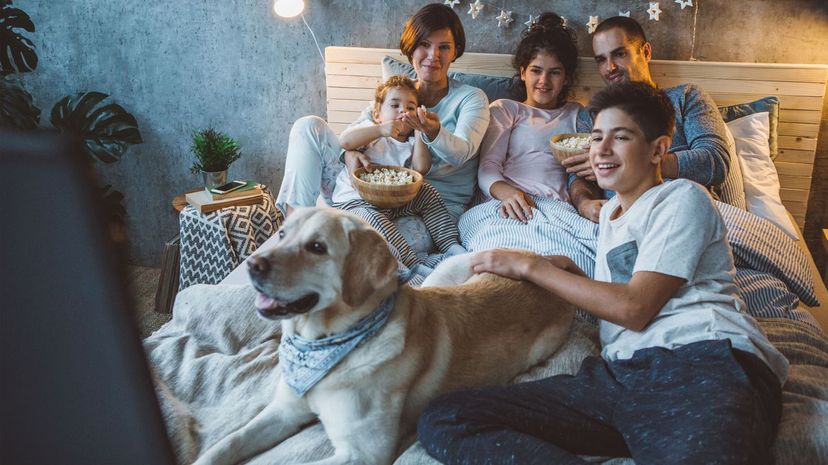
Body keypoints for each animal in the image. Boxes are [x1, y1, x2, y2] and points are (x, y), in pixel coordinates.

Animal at [194, 208, 572, 464]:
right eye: (282, 234)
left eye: (317, 247)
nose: (252, 264)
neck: (325, 342)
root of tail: (550, 260)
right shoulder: (285, 409)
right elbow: (228, 442)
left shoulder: (363, 453)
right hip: (452, 268)